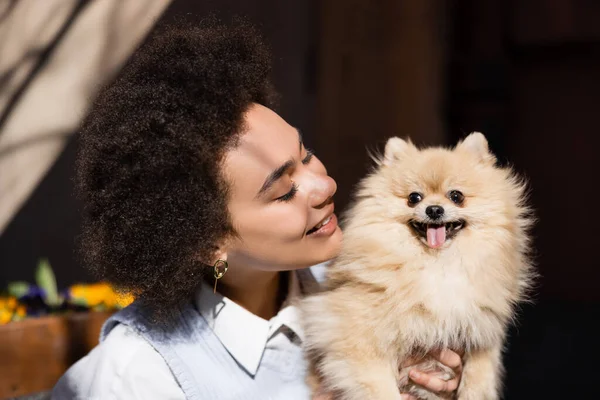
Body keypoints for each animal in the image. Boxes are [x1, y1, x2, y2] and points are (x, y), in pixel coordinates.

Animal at [302, 133, 532, 398]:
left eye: (456, 196)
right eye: (414, 198)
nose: (434, 209)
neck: (438, 263)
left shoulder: (480, 326)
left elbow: (481, 370)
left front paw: (474, 391)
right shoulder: (357, 343)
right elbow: (382, 390)